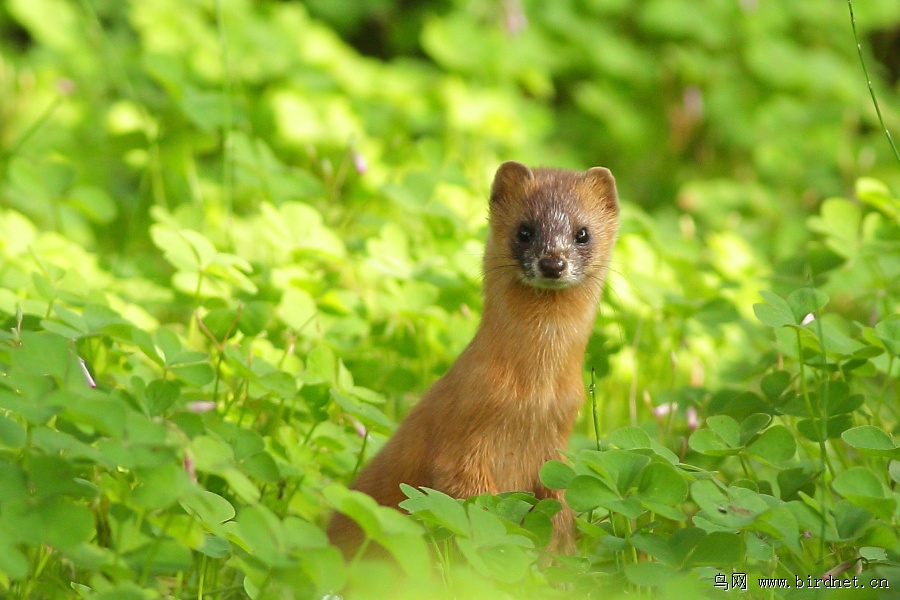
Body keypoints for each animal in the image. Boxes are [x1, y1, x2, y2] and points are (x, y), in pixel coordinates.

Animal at [328, 163, 620, 552]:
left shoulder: (557, 442)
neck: (533, 398)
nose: (553, 262)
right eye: (524, 231)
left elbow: (559, 503)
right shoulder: (462, 435)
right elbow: (473, 500)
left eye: (583, 233)